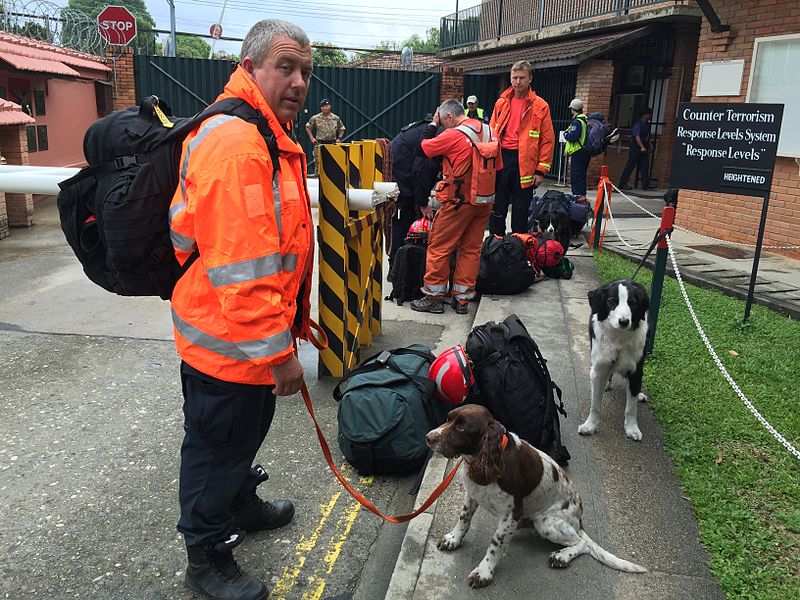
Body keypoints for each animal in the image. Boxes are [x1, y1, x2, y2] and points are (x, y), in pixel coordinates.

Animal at [424, 406, 644, 588]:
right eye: (448, 418)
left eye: (461, 427)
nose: (428, 437)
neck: (486, 460)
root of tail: (578, 519)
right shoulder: (473, 495)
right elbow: (463, 520)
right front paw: (453, 540)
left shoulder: (510, 515)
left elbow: (495, 544)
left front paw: (483, 573)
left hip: (547, 523)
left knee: (583, 544)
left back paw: (561, 557)